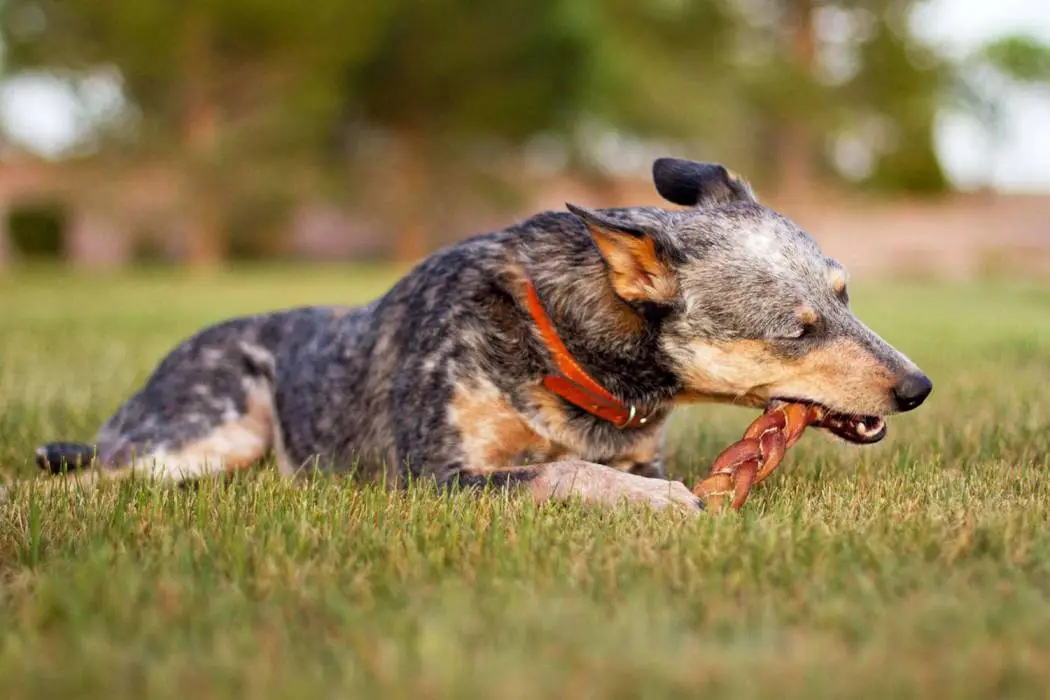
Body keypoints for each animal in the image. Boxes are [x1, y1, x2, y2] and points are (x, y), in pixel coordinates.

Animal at [32, 158, 936, 514]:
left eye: (845, 295)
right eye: (798, 329)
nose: (919, 386)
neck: (566, 349)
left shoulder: (638, 446)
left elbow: (593, 466)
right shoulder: (438, 475)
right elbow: (564, 473)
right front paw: (655, 503)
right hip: (208, 433)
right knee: (89, 474)